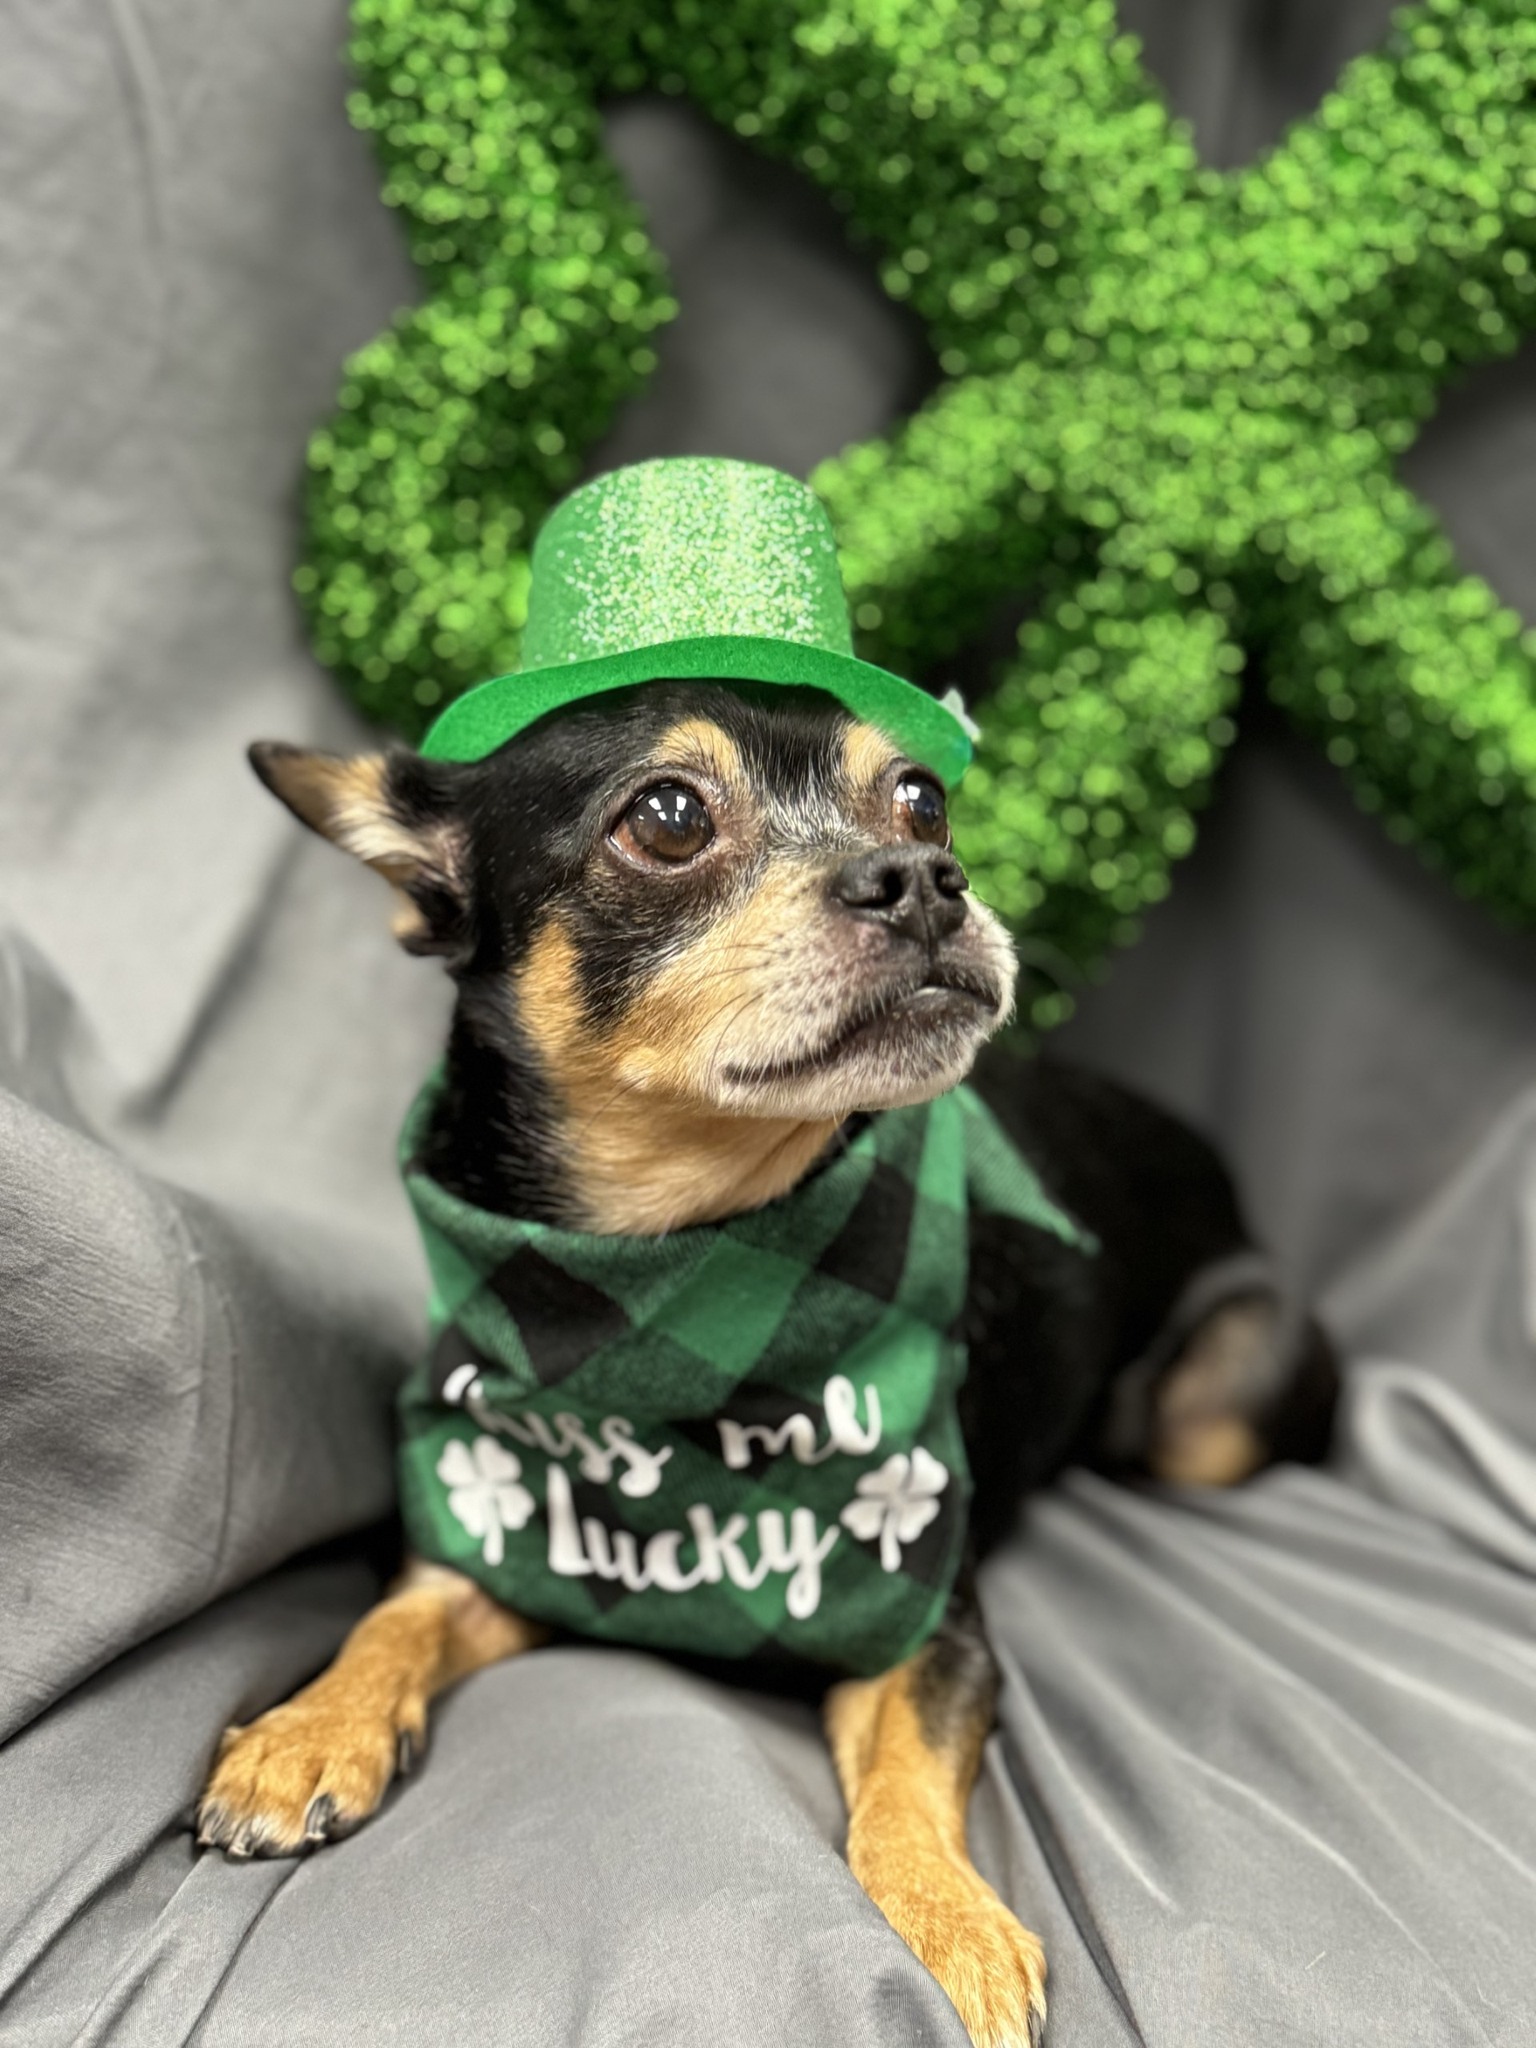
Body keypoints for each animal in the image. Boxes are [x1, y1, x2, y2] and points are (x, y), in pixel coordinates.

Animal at [201, 679, 1335, 2039]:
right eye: (669, 817)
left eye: (922, 796)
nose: (926, 877)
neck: (673, 1280)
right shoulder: (504, 1530)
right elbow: (391, 1616)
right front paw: (305, 1727)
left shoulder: (933, 1624)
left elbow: (904, 1777)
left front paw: (951, 1923)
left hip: (1215, 1400)